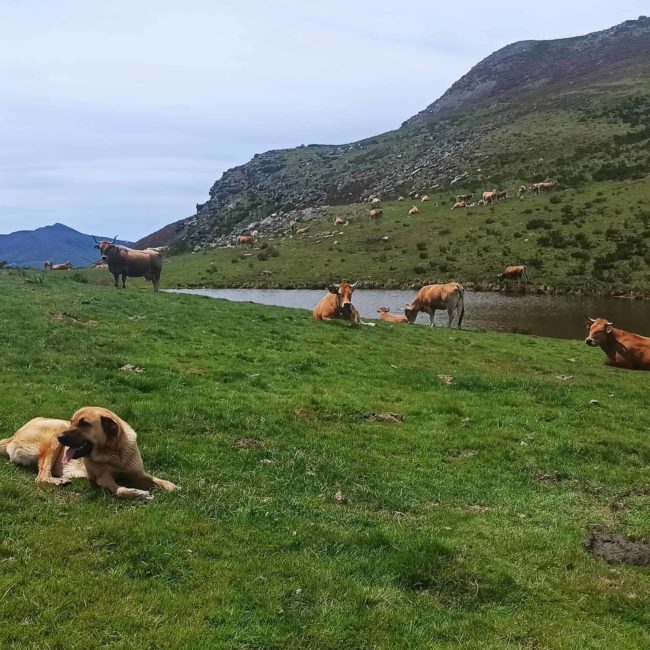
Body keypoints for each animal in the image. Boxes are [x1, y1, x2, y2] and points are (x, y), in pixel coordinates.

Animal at [1, 404, 176, 502]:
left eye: (84, 424)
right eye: (72, 422)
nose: (60, 437)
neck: (113, 452)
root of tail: (12, 436)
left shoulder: (138, 474)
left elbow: (158, 480)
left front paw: (172, 486)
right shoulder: (104, 480)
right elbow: (120, 490)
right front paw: (139, 493)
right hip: (56, 428)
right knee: (41, 477)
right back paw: (58, 480)